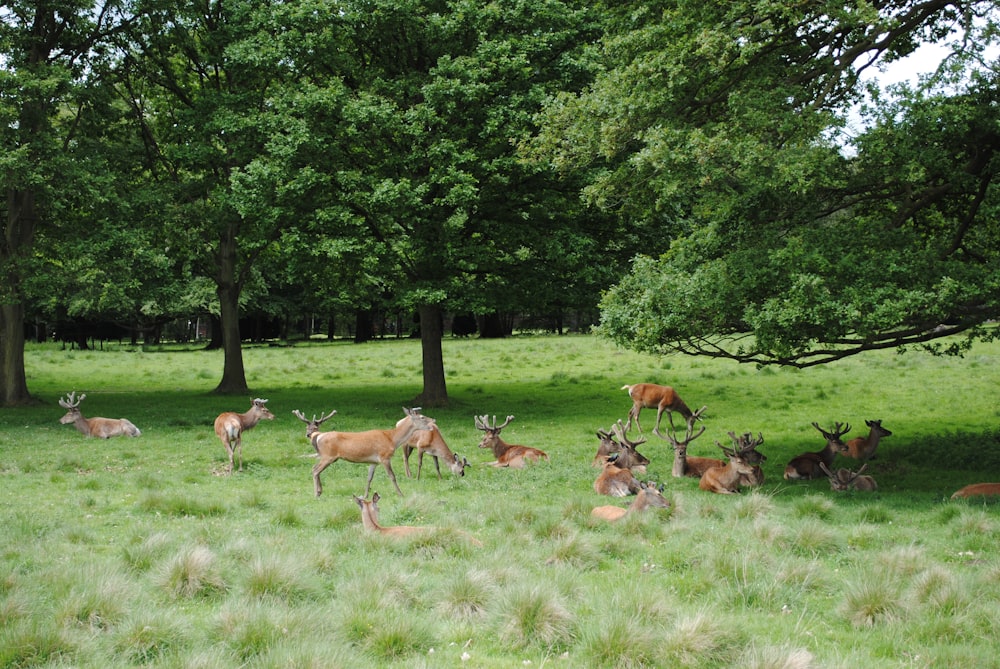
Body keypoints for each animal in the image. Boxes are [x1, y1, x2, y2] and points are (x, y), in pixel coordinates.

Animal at [292, 408, 434, 496]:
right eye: (422, 417)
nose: (434, 420)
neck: (392, 439)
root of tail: (318, 436)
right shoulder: (384, 456)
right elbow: (392, 476)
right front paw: (401, 494)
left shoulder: (374, 461)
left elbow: (369, 478)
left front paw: (365, 495)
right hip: (328, 456)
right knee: (315, 470)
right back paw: (316, 493)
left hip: (328, 456)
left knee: (315, 469)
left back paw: (320, 491)